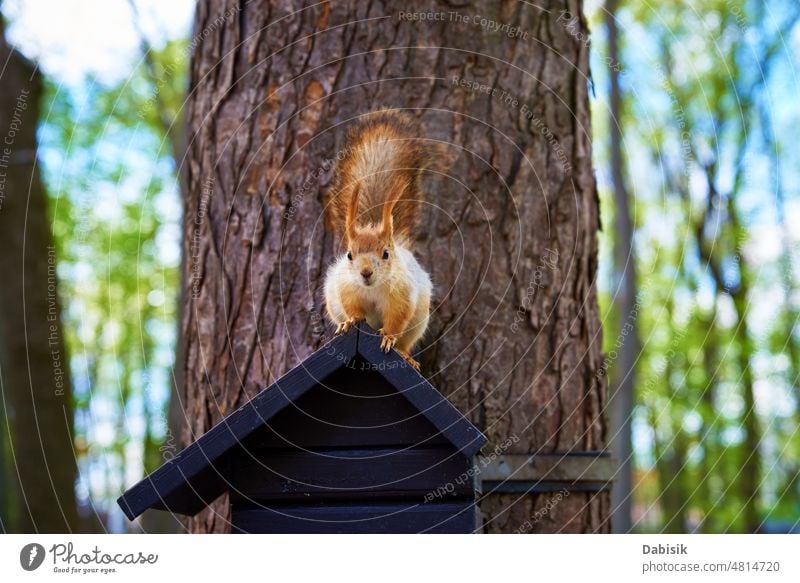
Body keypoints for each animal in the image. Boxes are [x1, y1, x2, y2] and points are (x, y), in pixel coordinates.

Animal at [324, 112, 434, 370]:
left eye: (385, 254)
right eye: (349, 255)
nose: (365, 273)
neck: (372, 288)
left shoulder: (403, 294)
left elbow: (396, 319)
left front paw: (388, 338)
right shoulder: (347, 287)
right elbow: (352, 307)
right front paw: (350, 322)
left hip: (419, 321)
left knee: (406, 342)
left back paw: (405, 355)